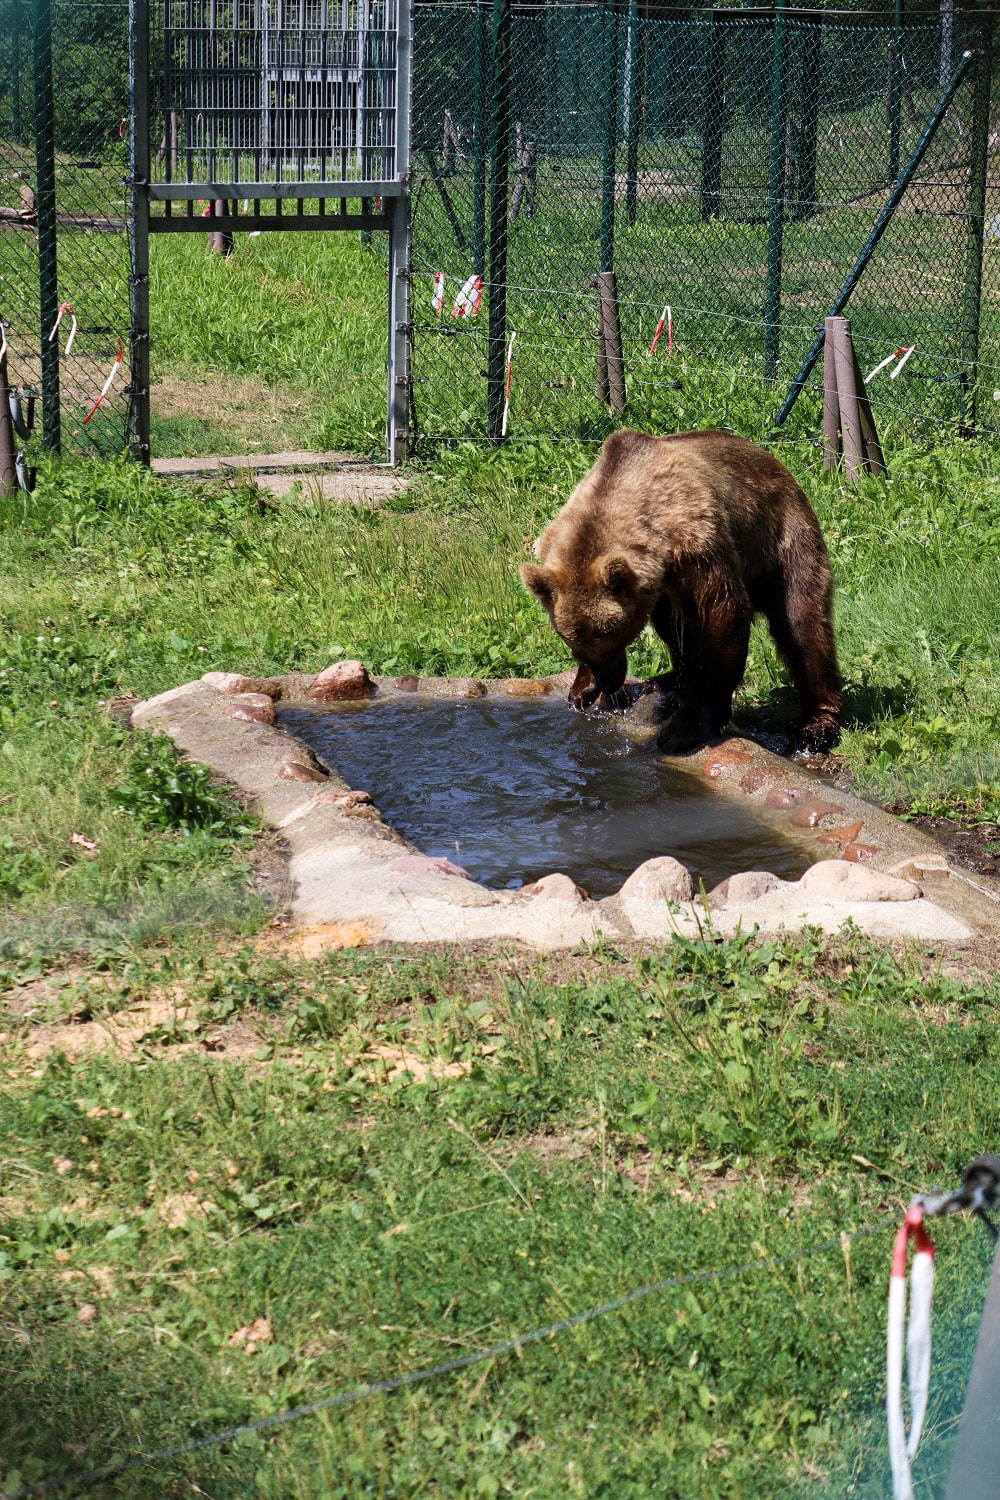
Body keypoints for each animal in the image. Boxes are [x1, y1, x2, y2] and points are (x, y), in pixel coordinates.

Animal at [521, 429, 839, 756]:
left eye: (613, 635)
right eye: (574, 647)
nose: (609, 683)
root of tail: (779, 466)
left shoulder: (697, 541)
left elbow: (723, 611)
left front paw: (685, 728)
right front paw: (581, 690)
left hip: (784, 541)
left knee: (803, 625)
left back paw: (816, 725)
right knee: (670, 624)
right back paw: (665, 681)